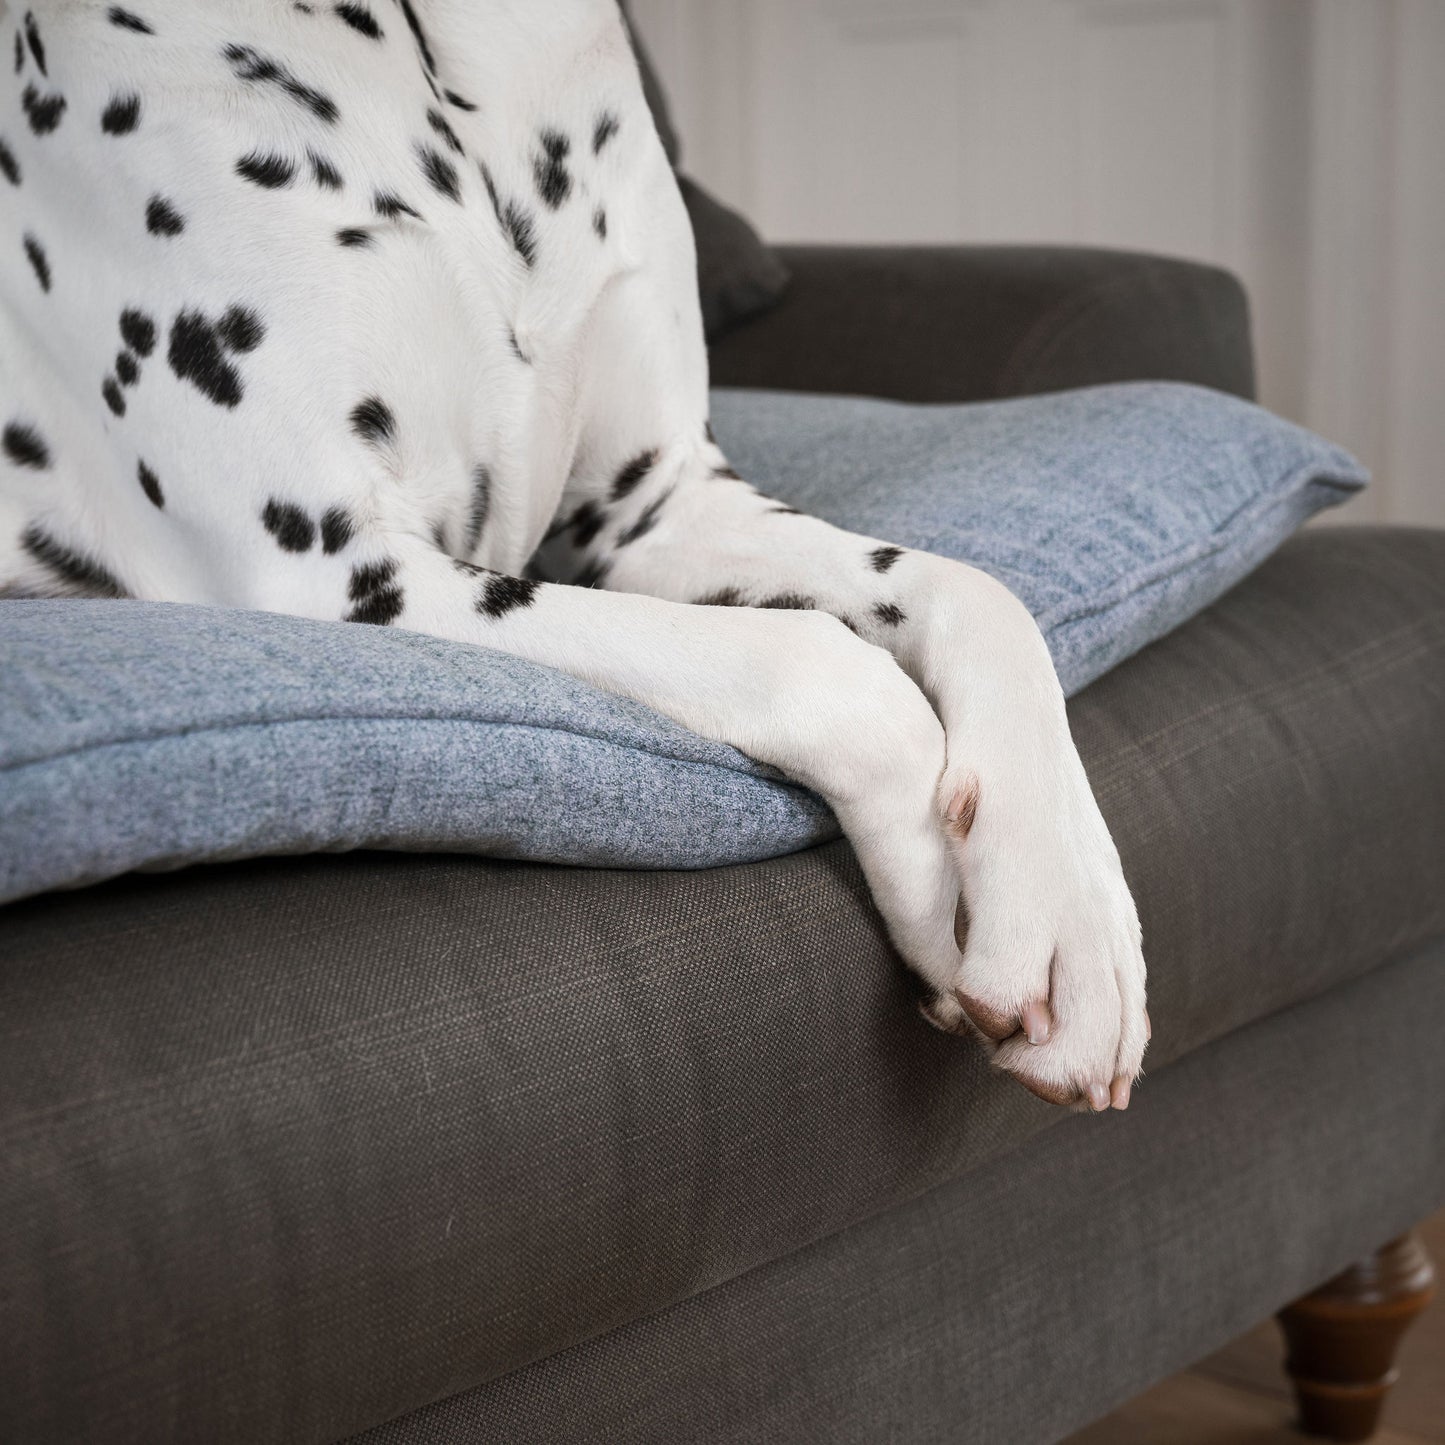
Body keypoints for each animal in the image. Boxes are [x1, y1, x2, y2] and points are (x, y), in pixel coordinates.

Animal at [2, 0, 1150, 1109]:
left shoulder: (660, 505)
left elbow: (977, 591)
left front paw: (1067, 915)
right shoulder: (334, 576)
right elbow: (827, 667)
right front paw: (942, 904)